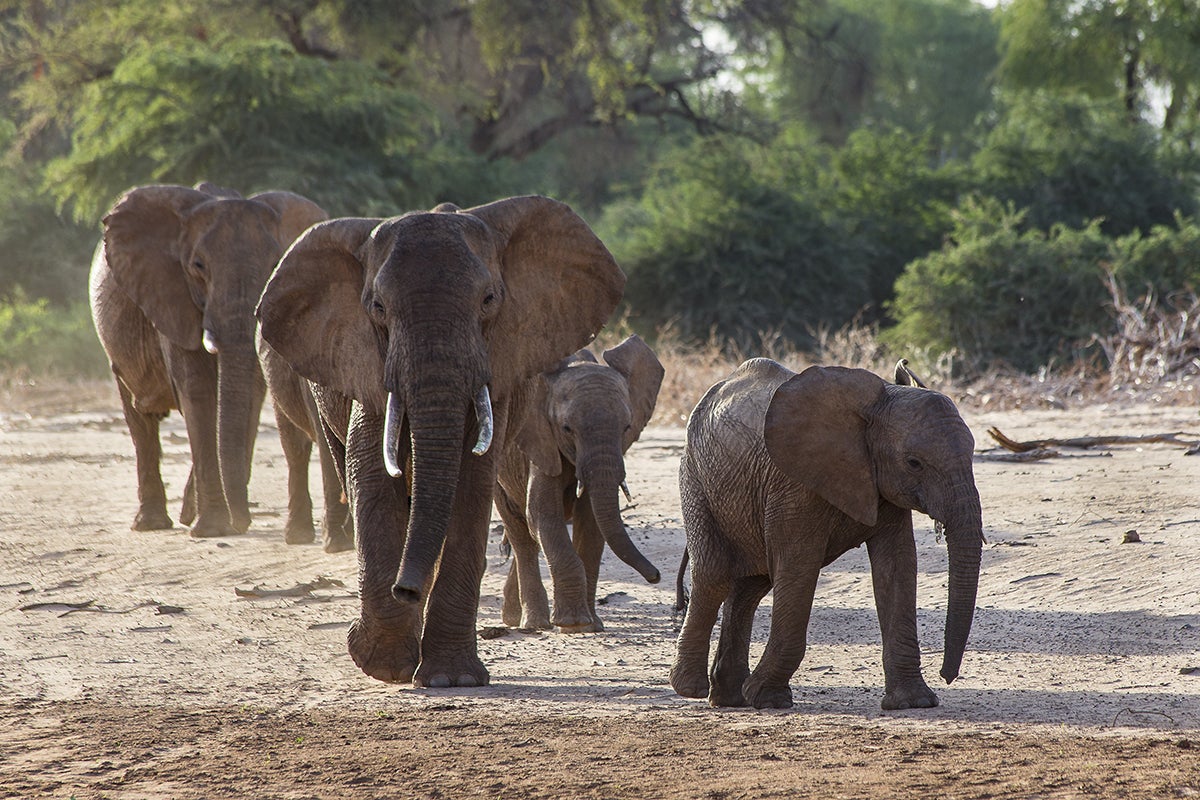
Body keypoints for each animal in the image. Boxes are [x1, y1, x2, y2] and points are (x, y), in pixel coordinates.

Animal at [89, 182, 328, 538]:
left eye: (276, 264)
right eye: (198, 266)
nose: (242, 522)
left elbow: (249, 394)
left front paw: (224, 522)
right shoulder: (171, 294)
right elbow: (198, 389)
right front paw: (215, 528)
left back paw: (188, 514)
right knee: (139, 417)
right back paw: (152, 523)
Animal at [255, 195, 625, 688]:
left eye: (489, 301)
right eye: (377, 308)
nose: (404, 589)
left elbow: (469, 486)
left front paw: (452, 679)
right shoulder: (367, 363)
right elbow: (372, 475)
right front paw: (384, 665)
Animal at [495, 334, 664, 633]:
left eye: (627, 427)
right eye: (567, 429)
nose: (655, 576)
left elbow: (592, 521)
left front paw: (590, 625)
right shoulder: (541, 438)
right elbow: (542, 513)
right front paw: (573, 624)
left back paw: (515, 618)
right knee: (519, 531)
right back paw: (532, 623)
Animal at [670, 358, 983, 711]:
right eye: (914, 463)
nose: (947, 675)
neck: (876, 404)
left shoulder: (882, 485)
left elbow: (897, 565)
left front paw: (912, 702)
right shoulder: (795, 484)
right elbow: (798, 566)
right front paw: (768, 698)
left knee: (749, 587)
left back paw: (730, 698)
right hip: (695, 478)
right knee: (714, 576)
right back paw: (692, 689)